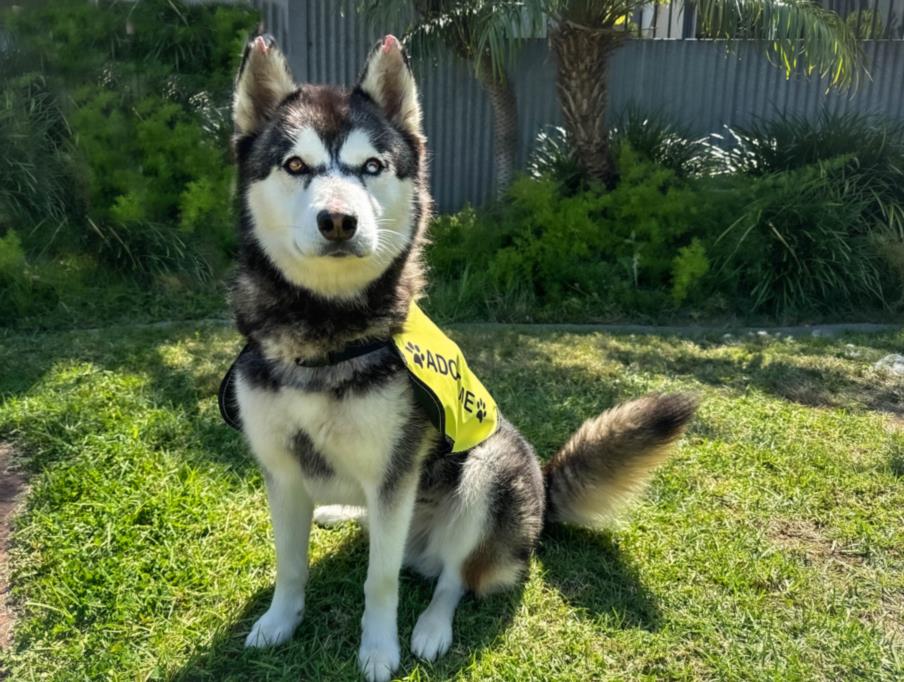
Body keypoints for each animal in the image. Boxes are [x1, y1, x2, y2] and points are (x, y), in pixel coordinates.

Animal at [230, 34, 696, 676]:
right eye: (295, 165)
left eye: (372, 166)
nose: (339, 220)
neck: (326, 334)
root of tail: (543, 492)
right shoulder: (281, 471)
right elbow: (290, 565)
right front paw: (279, 621)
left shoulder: (396, 474)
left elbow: (380, 582)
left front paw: (380, 648)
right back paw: (344, 515)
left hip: (488, 471)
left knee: (451, 577)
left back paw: (431, 627)